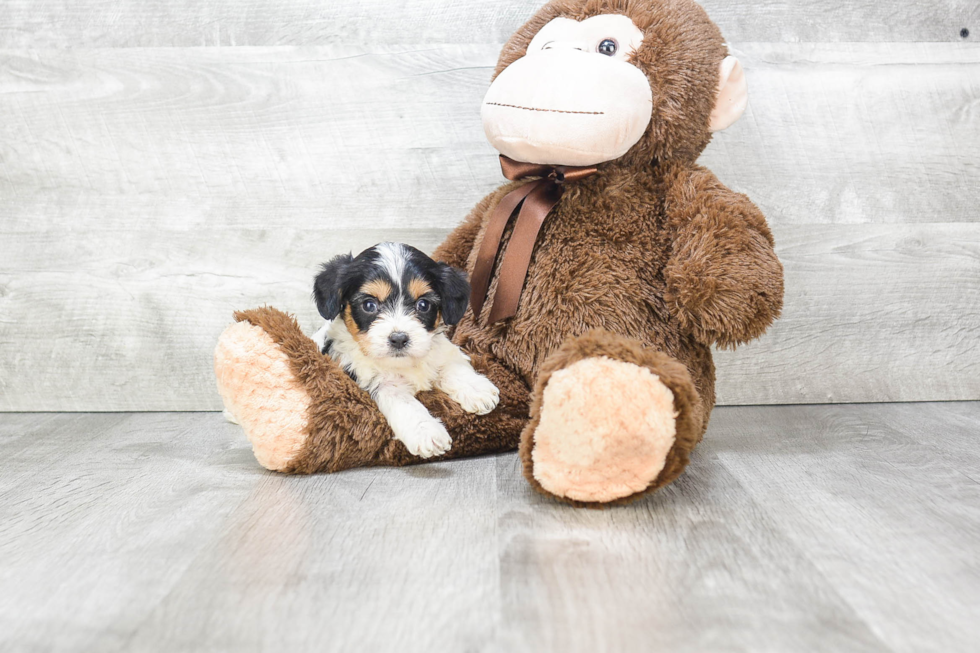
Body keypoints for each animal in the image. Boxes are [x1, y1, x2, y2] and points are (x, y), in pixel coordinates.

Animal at [312, 241, 502, 458]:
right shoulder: (380, 383)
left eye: (423, 305)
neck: (404, 363)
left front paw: (476, 388)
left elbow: (450, 366)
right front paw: (426, 432)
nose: (399, 339)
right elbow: (405, 404)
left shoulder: (437, 351)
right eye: (369, 305)